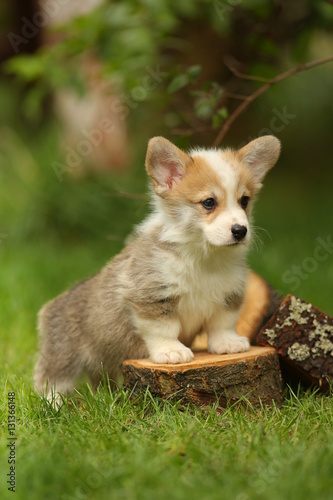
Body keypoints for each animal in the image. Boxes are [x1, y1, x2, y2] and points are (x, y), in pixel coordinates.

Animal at [33, 135, 278, 400]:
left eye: (245, 201)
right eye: (209, 202)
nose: (240, 231)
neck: (202, 257)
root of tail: (49, 307)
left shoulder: (229, 295)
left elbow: (222, 323)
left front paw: (228, 344)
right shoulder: (152, 296)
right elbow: (164, 328)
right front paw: (172, 352)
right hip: (63, 355)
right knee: (50, 380)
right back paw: (53, 403)